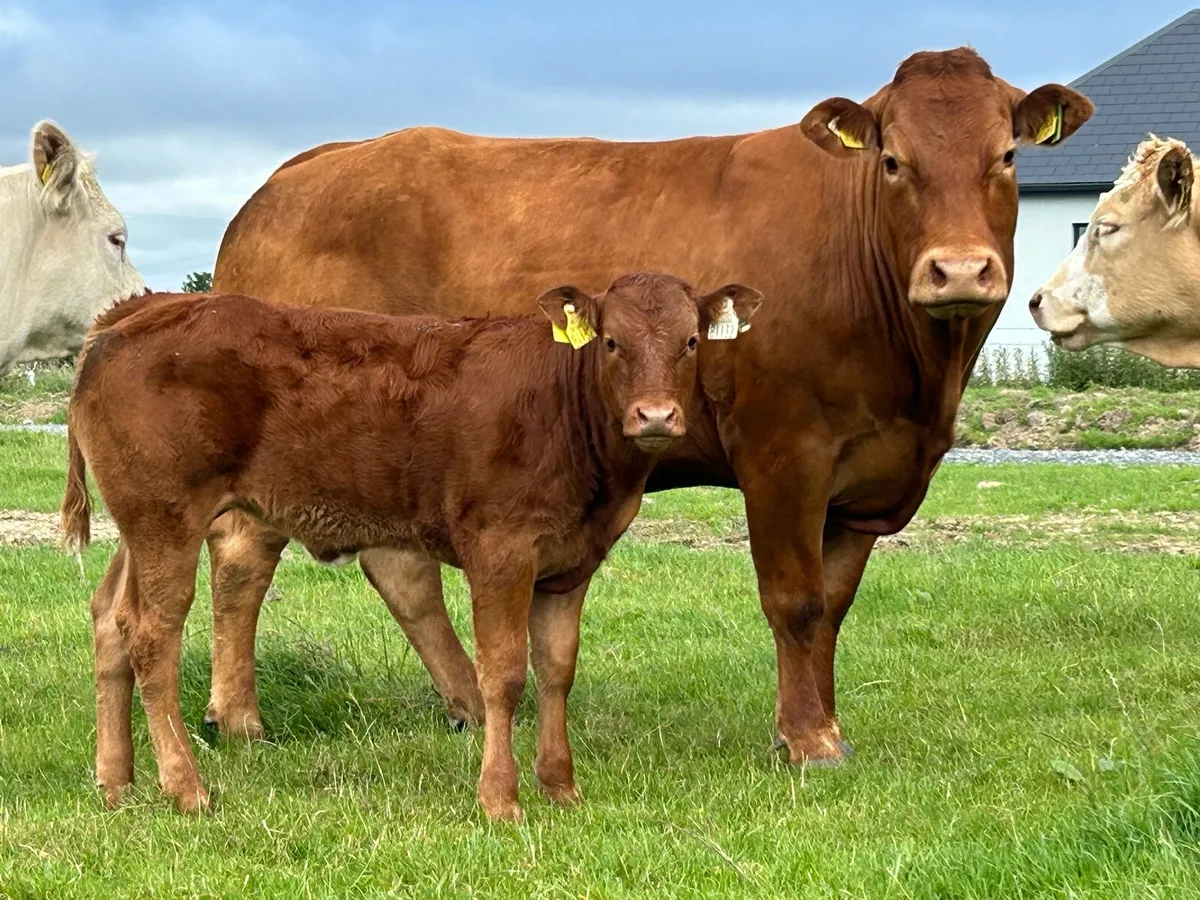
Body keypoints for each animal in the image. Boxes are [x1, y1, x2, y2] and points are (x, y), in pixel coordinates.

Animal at [62, 273, 763, 820]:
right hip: (167, 516)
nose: (655, 416)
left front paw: (561, 788)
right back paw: (185, 788)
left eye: (691, 342)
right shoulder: (500, 548)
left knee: (109, 617)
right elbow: (503, 674)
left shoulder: (569, 565)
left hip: (142, 524)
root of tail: (138, 311)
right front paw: (501, 799)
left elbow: (556, 671)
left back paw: (117, 783)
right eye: (613, 342)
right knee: (151, 633)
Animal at [198, 47, 1094, 767]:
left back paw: (468, 705)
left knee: (398, 566)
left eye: (1006, 155)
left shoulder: (865, 476)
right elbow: (796, 601)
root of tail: (302, 171)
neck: (917, 378)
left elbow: (834, 608)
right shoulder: (784, 453)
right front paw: (806, 741)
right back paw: (239, 721)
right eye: (895, 162)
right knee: (244, 551)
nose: (960, 270)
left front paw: (824, 726)